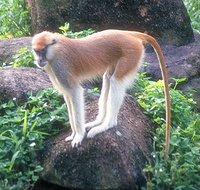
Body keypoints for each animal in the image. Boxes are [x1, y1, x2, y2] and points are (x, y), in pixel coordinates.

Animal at [32, 29, 170, 160]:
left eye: (43, 51)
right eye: (36, 51)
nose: (39, 60)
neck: (56, 49)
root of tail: (129, 34)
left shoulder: (61, 67)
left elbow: (75, 92)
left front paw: (79, 136)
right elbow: (68, 95)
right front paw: (72, 135)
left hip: (131, 54)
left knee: (115, 81)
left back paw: (107, 125)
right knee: (107, 77)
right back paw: (98, 121)